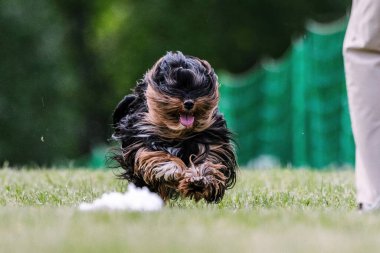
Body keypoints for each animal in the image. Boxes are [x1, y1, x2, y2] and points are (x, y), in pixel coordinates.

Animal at [111, 51, 238, 204]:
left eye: (197, 87)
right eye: (173, 87)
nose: (189, 103)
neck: (179, 133)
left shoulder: (211, 140)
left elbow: (209, 160)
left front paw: (198, 180)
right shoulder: (144, 137)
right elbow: (157, 155)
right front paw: (171, 169)